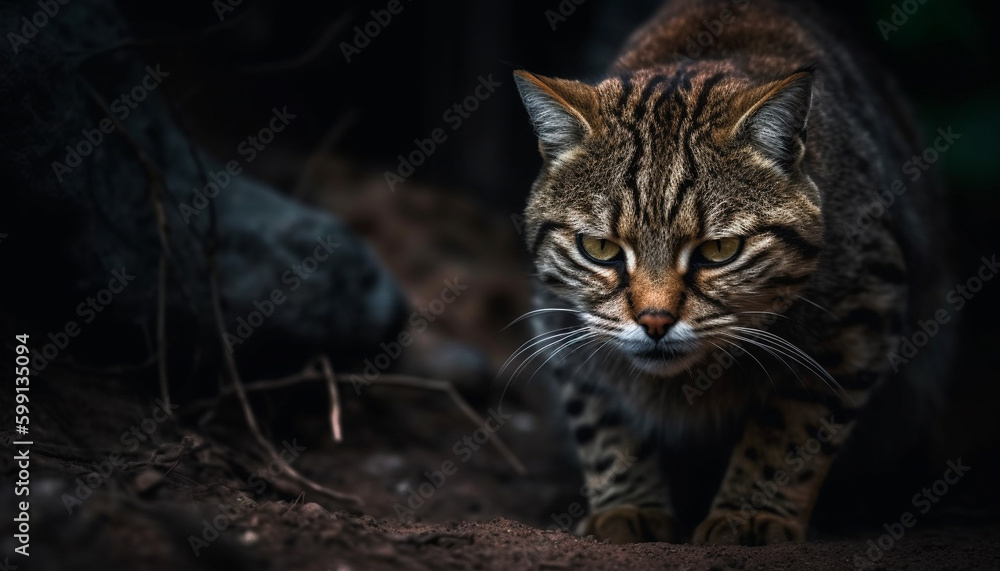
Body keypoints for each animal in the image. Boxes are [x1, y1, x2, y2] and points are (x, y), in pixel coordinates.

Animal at [516, 0, 952, 548]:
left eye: (719, 250)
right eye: (600, 249)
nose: (654, 322)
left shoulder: (865, 301)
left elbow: (793, 423)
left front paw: (749, 515)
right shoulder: (559, 320)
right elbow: (601, 418)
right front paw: (628, 504)